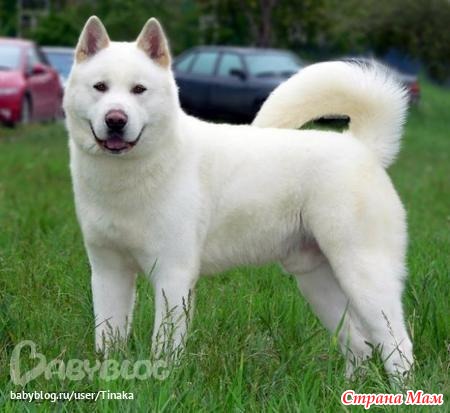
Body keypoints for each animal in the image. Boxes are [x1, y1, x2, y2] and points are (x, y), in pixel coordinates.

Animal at [63, 16, 413, 378]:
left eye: (138, 89)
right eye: (100, 87)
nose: (116, 120)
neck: (129, 178)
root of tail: (361, 146)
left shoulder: (173, 274)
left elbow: (165, 347)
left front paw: (161, 381)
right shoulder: (108, 271)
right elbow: (107, 338)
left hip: (364, 275)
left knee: (398, 347)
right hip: (318, 282)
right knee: (359, 346)